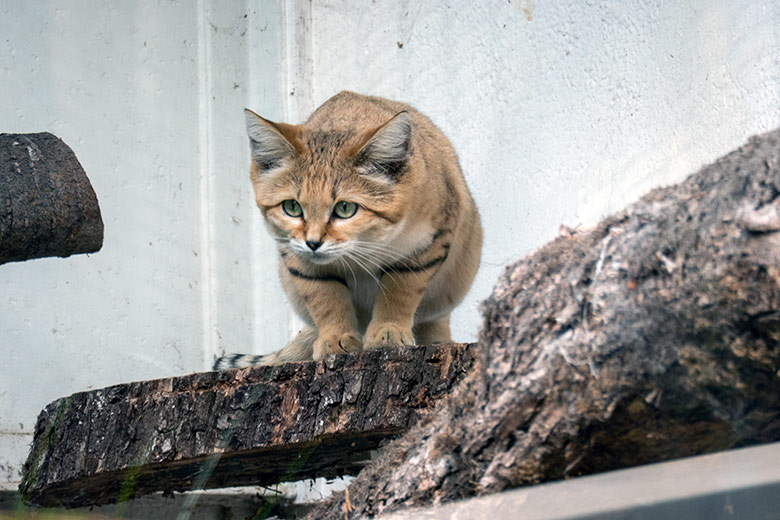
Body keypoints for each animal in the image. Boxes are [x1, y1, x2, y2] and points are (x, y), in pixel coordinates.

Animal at [215, 92, 482, 370]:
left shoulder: (429, 243)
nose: (313, 243)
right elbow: (324, 297)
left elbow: (399, 290)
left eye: (345, 208)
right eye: (292, 207)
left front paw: (388, 330)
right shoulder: (295, 255)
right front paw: (336, 337)